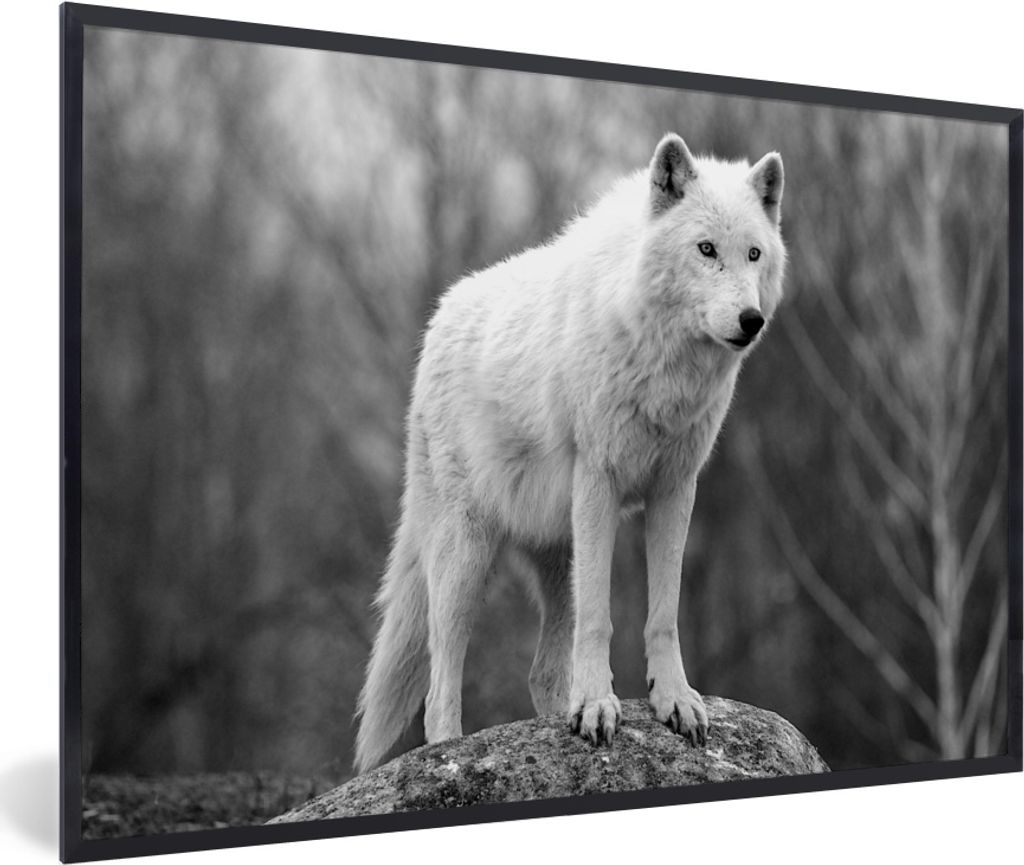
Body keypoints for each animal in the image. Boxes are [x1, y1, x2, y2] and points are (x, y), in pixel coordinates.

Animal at [354, 133, 785, 774]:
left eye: (754, 254)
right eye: (706, 249)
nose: (750, 320)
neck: (663, 365)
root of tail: (438, 319)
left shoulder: (676, 488)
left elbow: (664, 614)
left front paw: (674, 700)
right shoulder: (598, 482)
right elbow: (600, 619)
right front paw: (599, 706)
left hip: (557, 551)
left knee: (540, 671)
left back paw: (559, 717)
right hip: (467, 552)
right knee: (439, 677)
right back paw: (451, 749)